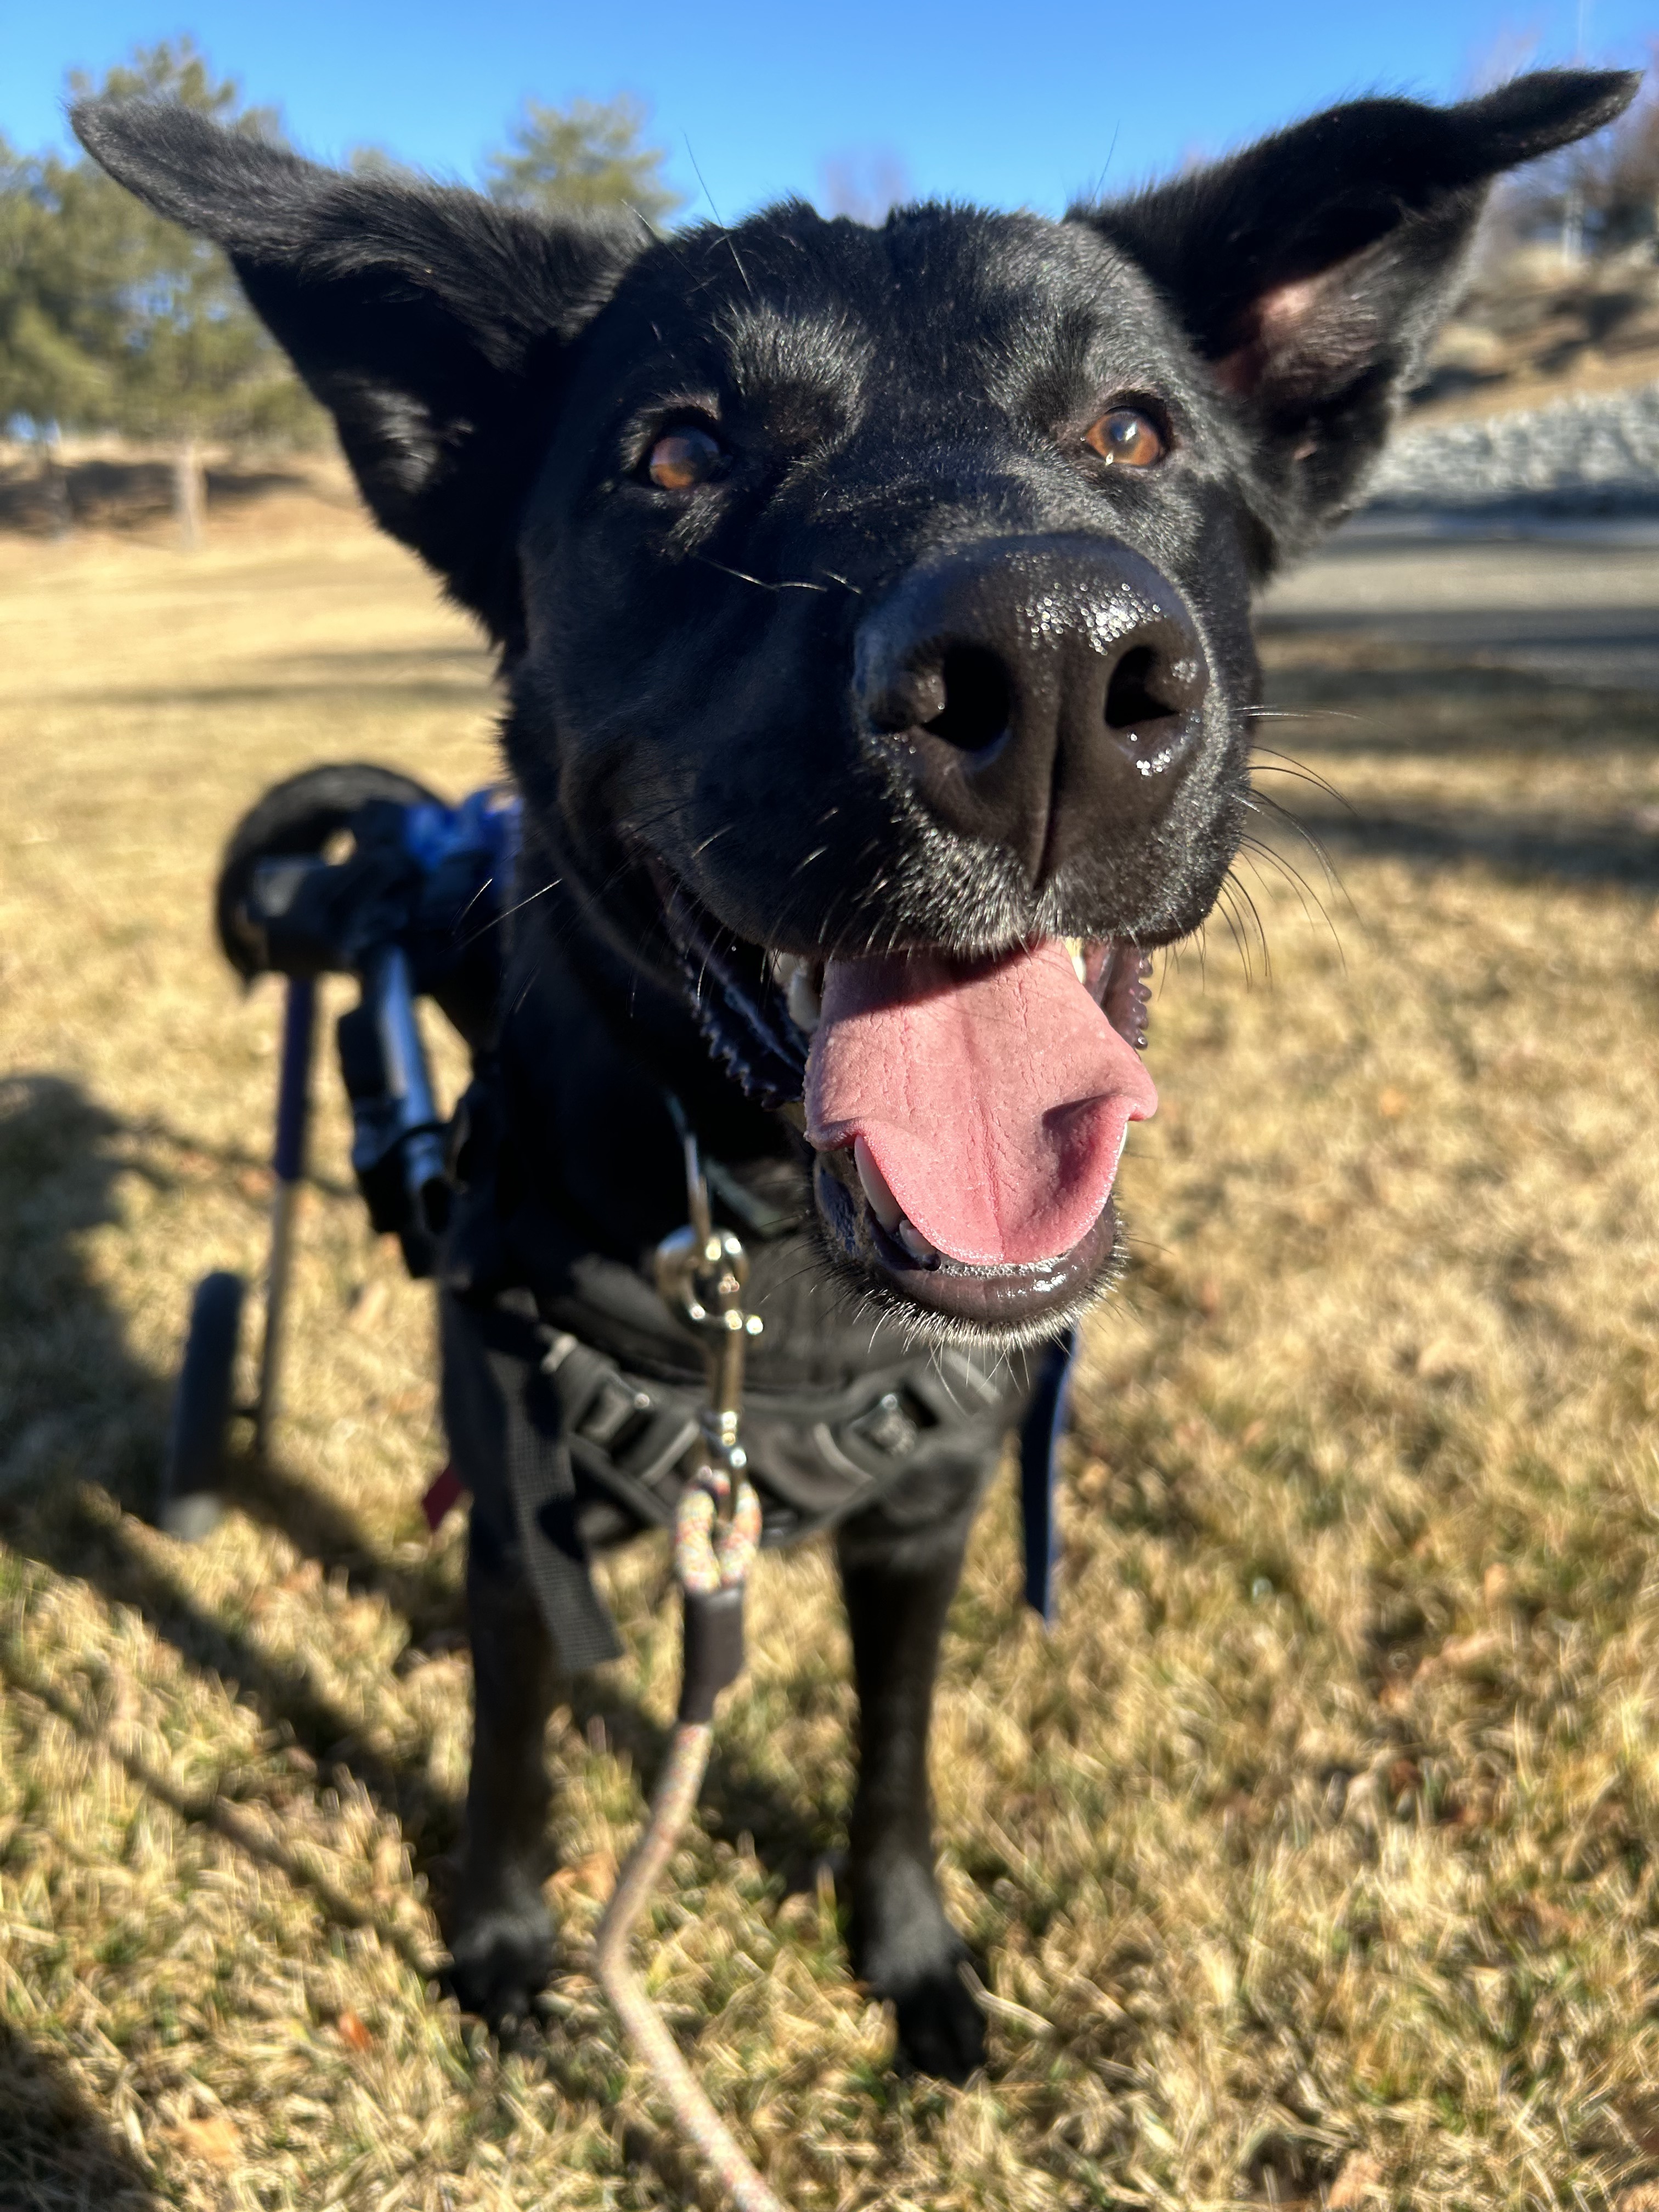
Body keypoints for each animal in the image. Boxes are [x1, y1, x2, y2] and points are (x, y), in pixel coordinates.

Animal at [81, 64, 1637, 2070]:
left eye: (1132, 427)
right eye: (678, 455)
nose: (1049, 675)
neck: (774, 1276)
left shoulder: (926, 1528)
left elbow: (893, 1757)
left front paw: (904, 1954)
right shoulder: (523, 1523)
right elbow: (514, 1741)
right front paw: (504, 1938)